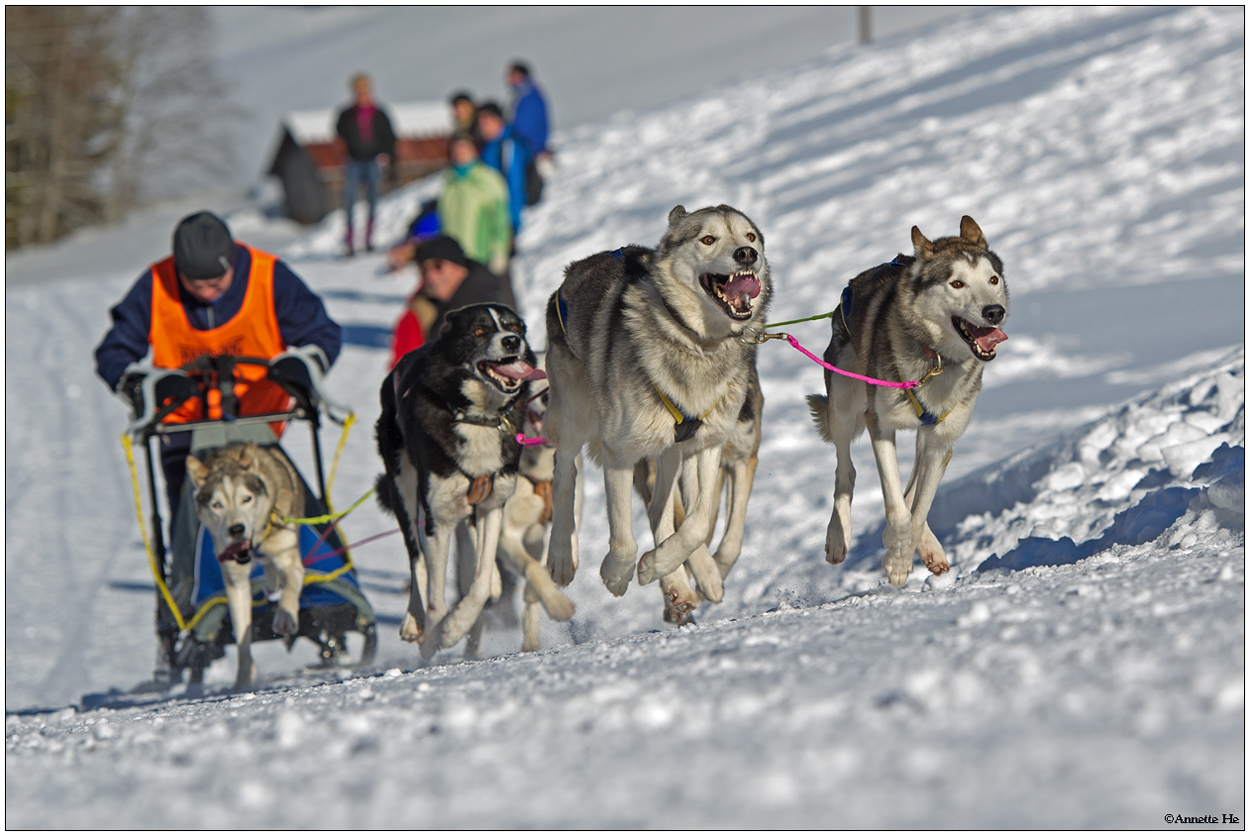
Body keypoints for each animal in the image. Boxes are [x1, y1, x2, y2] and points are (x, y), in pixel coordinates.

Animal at [372, 301, 545, 659]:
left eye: (514, 327)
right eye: (479, 330)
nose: (512, 341)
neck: (478, 418)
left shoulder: (493, 506)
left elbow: (479, 583)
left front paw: (456, 625)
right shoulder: (437, 519)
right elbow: (435, 597)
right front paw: (435, 634)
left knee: (479, 563)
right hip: (404, 492)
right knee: (416, 559)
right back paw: (414, 621)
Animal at [547, 204, 770, 617]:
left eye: (750, 237)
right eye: (708, 239)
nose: (747, 254)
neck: (699, 344)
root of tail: (572, 272)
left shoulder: (711, 447)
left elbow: (697, 525)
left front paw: (658, 566)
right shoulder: (620, 450)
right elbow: (624, 539)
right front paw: (616, 575)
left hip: (670, 453)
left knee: (660, 513)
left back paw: (677, 581)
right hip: (574, 415)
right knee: (564, 469)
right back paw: (562, 556)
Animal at [810, 218, 1005, 584]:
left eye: (993, 279)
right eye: (957, 283)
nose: (995, 311)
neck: (935, 360)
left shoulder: (941, 443)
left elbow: (916, 507)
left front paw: (902, 554)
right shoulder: (880, 424)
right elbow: (898, 510)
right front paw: (897, 560)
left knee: (911, 489)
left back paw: (929, 547)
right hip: (842, 402)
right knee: (846, 471)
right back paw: (838, 538)